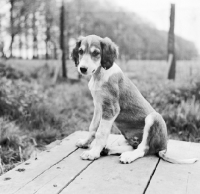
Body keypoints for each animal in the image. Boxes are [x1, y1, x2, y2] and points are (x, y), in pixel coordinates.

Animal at [71, 35, 198, 164]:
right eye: (81, 51)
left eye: (96, 53)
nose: (82, 69)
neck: (99, 75)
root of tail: (164, 147)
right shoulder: (98, 107)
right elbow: (92, 128)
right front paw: (85, 143)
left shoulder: (111, 109)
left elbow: (101, 133)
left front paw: (93, 153)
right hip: (126, 138)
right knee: (132, 146)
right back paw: (108, 150)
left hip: (154, 118)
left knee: (143, 149)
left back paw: (128, 156)